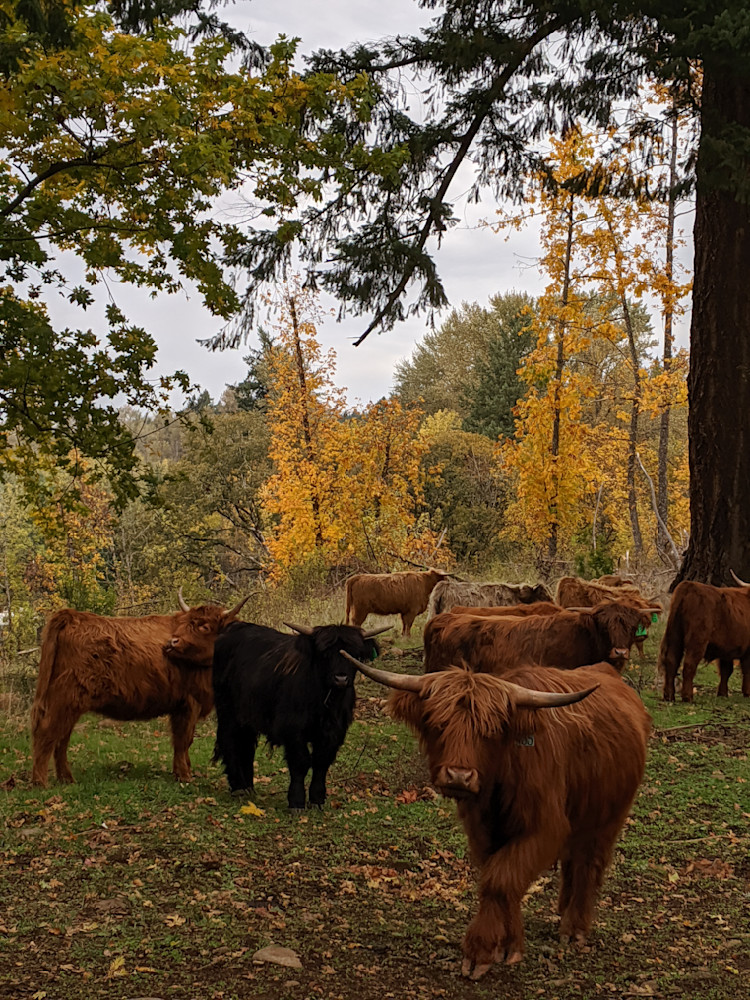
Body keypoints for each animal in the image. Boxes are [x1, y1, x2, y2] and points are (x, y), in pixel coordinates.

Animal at [30, 591, 249, 786]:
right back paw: (40, 782)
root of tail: (73, 615)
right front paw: (185, 776)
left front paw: (184, 771)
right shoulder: (189, 703)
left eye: (204, 626)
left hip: (70, 703)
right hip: (66, 697)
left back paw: (67, 779)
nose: (172, 642)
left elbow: (185, 740)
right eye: (186, 624)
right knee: (47, 732)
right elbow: (183, 740)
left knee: (62, 737)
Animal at [212, 621, 388, 810]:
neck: (325, 703)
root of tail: (235, 626)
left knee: (246, 745)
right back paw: (238, 787)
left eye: (353, 655)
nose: (341, 679)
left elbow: (321, 762)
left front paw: (317, 799)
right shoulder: (293, 730)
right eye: (324, 653)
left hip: (247, 716)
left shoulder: (334, 733)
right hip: (227, 710)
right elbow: (300, 762)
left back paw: (249, 787)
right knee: (229, 740)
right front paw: (296, 802)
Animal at [340, 652, 651, 980]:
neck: (501, 778)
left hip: (608, 816)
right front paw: (507, 945)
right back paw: (562, 908)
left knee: (588, 864)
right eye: (438, 724)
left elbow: (500, 880)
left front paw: (480, 952)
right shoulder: (482, 829)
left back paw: (574, 927)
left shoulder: (545, 827)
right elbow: (501, 876)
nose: (459, 776)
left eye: (488, 731)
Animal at [659, 572, 750, 701]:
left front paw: (722, 693)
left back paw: (669, 695)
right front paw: (747, 692)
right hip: (697, 640)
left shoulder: (727, 649)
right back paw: (687, 696)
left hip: (675, 635)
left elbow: (726, 670)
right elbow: (746, 670)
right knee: (689, 664)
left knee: (671, 661)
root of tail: (689, 585)